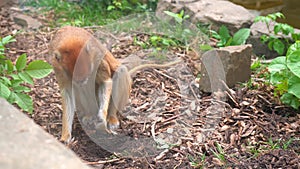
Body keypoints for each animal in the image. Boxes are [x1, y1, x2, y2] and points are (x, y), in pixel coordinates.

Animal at [49, 26, 180, 143]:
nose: (82, 80)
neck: (71, 38)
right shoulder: (58, 66)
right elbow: (67, 92)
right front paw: (65, 137)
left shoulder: (97, 57)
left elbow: (105, 82)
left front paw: (102, 117)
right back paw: (89, 115)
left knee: (120, 71)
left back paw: (111, 118)